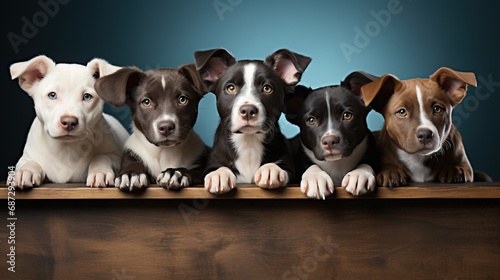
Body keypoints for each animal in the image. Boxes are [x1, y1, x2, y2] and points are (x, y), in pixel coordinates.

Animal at [9, 54, 129, 188]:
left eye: (87, 97)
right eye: (52, 95)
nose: (69, 122)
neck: (67, 149)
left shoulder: (116, 157)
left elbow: (102, 156)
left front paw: (100, 171)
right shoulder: (27, 156)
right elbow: (30, 162)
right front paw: (26, 170)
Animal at [193, 48, 310, 194]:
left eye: (267, 88)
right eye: (231, 88)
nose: (248, 110)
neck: (248, 141)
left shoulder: (288, 165)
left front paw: (271, 169)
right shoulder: (212, 162)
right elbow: (215, 168)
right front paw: (219, 174)